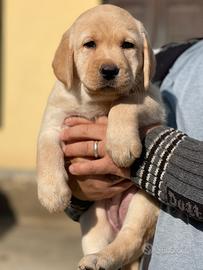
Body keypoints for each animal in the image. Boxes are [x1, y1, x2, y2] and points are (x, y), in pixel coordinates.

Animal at [36, 4, 165, 270]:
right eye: (90, 45)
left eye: (127, 45)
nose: (109, 70)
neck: (96, 101)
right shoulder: (53, 123)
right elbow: (46, 150)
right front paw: (52, 193)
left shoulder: (153, 103)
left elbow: (124, 103)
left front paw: (121, 144)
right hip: (94, 222)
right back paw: (95, 259)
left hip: (143, 203)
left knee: (131, 239)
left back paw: (102, 258)